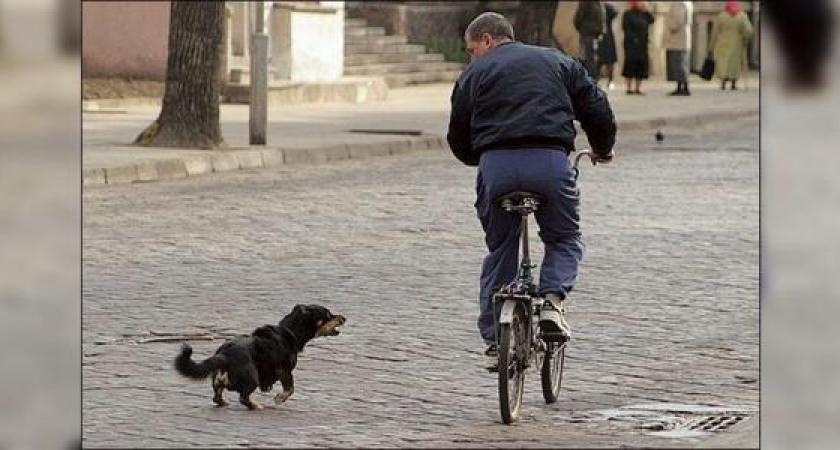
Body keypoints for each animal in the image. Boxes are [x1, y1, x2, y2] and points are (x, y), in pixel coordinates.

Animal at [176, 304, 346, 410]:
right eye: (328, 314)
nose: (344, 317)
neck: (289, 330)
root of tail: (225, 354)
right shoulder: (285, 371)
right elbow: (290, 389)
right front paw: (279, 398)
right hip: (252, 378)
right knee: (243, 397)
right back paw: (255, 406)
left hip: (219, 379)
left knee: (217, 397)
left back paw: (225, 403)